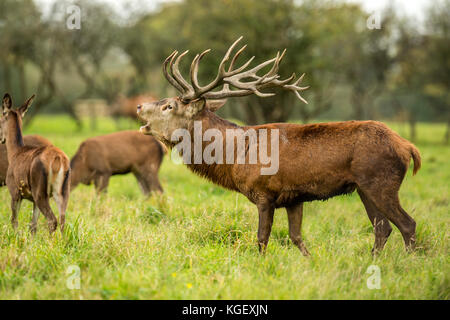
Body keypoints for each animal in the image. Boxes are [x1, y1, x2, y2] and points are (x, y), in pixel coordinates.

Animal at [0, 94, 70, 234]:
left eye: (0, 119)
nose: (1, 139)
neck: (14, 153)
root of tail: (59, 159)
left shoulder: (14, 191)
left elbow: (14, 221)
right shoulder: (32, 199)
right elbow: (33, 225)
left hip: (40, 191)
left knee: (52, 220)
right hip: (63, 191)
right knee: (62, 221)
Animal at [138, 37, 422, 255]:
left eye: (169, 106)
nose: (140, 106)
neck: (234, 156)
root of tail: (408, 147)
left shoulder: (265, 194)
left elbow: (262, 238)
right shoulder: (294, 198)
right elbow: (296, 237)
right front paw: (310, 262)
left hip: (381, 182)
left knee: (407, 224)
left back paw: (409, 263)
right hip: (364, 188)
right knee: (382, 228)